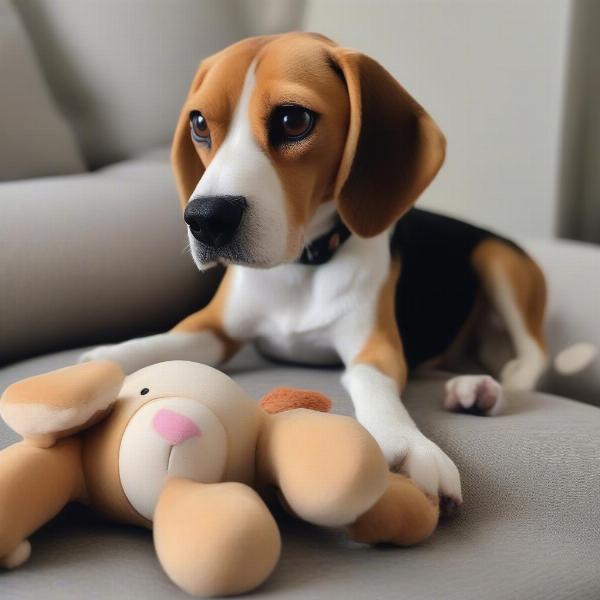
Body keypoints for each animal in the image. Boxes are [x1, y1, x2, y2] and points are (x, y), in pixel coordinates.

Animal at [82, 31, 552, 502]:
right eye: (199, 123)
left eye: (293, 120)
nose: (205, 219)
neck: (300, 266)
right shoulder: (213, 329)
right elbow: (157, 343)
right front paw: (99, 363)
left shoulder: (374, 348)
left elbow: (374, 387)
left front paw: (408, 448)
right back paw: (472, 388)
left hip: (498, 259)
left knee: (535, 354)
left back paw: (497, 384)